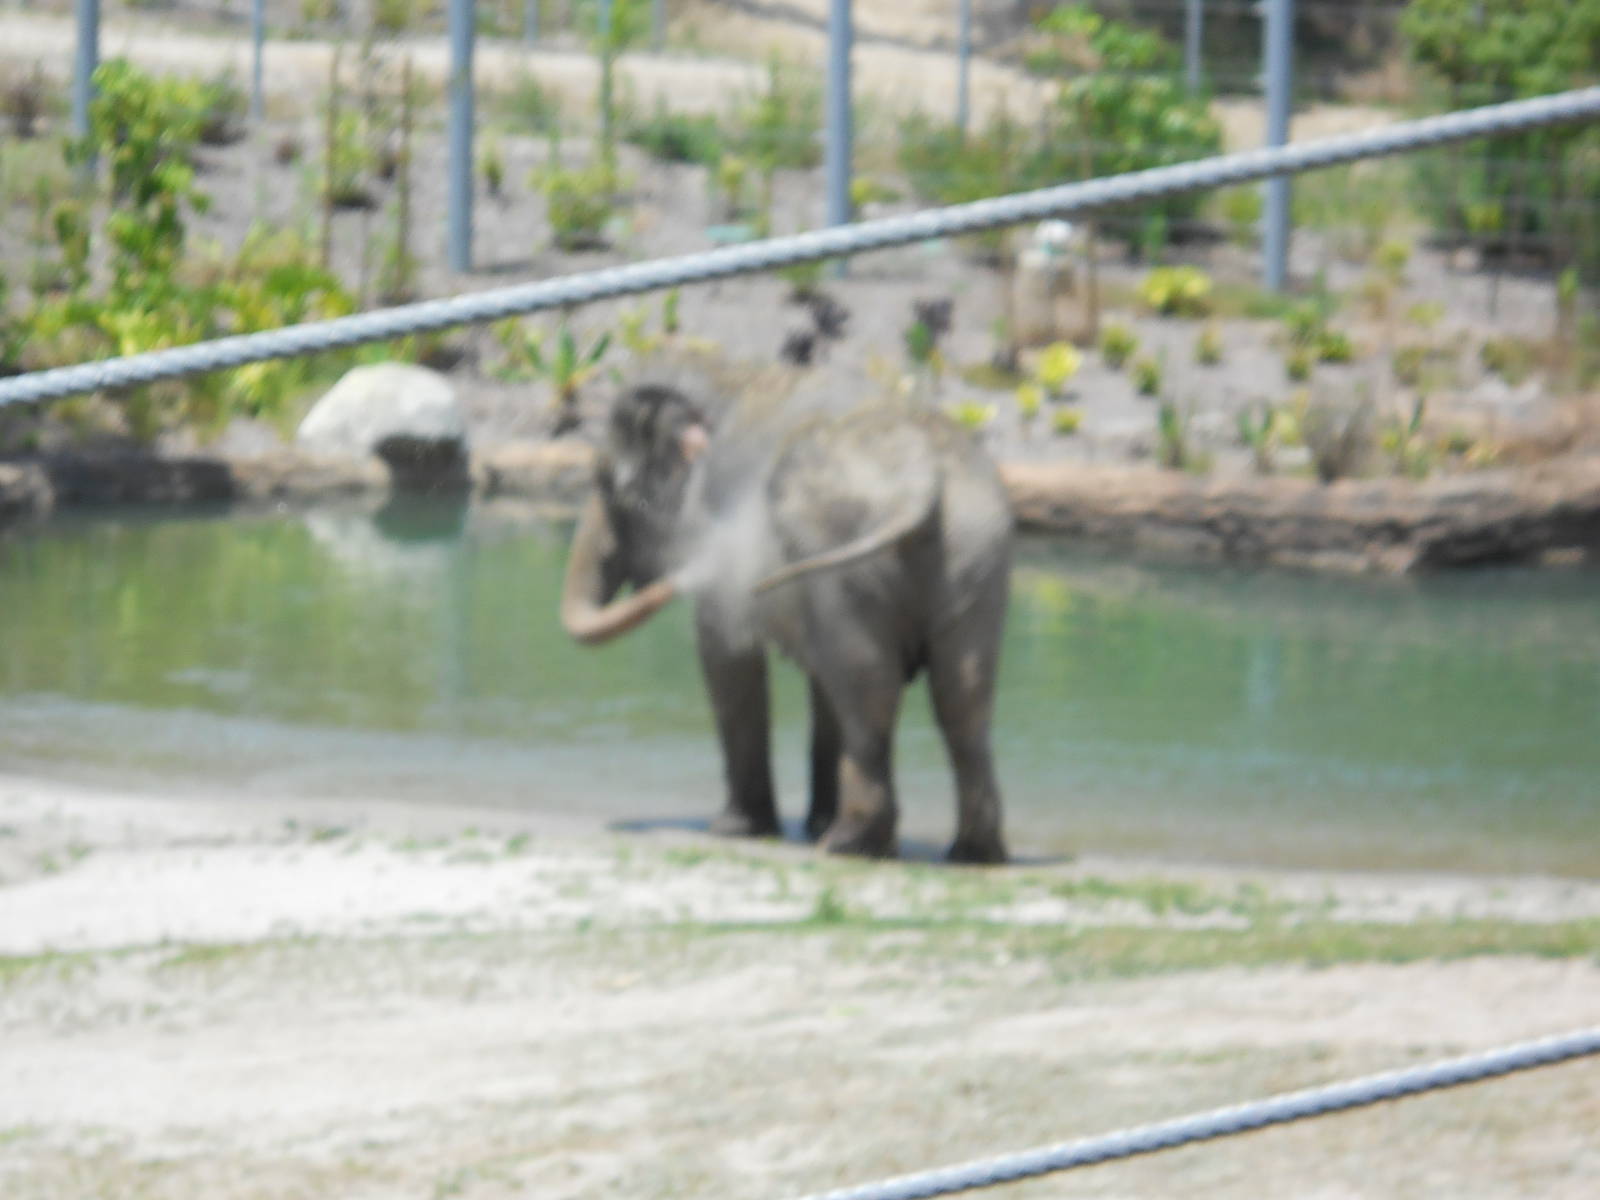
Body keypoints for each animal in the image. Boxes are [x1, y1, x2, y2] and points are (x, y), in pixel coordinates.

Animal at [559, 365, 1013, 863]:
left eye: (606, 484)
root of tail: (923, 473)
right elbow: (820, 683)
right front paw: (808, 824)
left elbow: (727, 658)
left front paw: (735, 830)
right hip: (975, 551)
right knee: (962, 698)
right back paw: (969, 852)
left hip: (849, 560)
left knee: (870, 691)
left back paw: (848, 844)